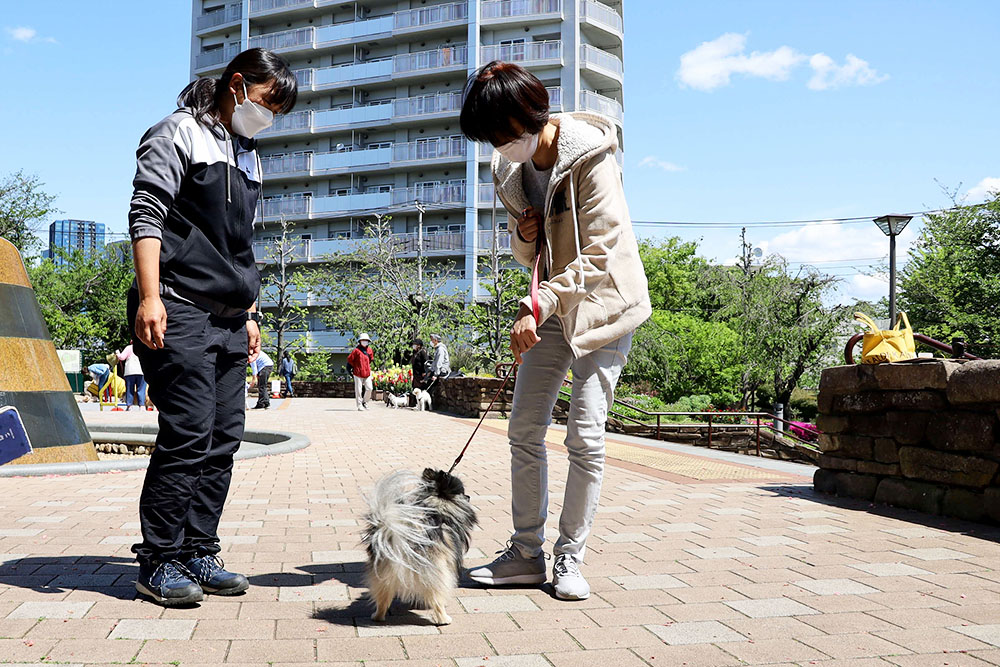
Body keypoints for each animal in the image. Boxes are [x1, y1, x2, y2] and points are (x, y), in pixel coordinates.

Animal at [362, 470, 478, 628]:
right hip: (436, 573)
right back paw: (444, 619)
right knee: (437, 599)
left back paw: (378, 616)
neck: (436, 506)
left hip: (382, 574)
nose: (469, 497)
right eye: (463, 492)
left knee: (383, 597)